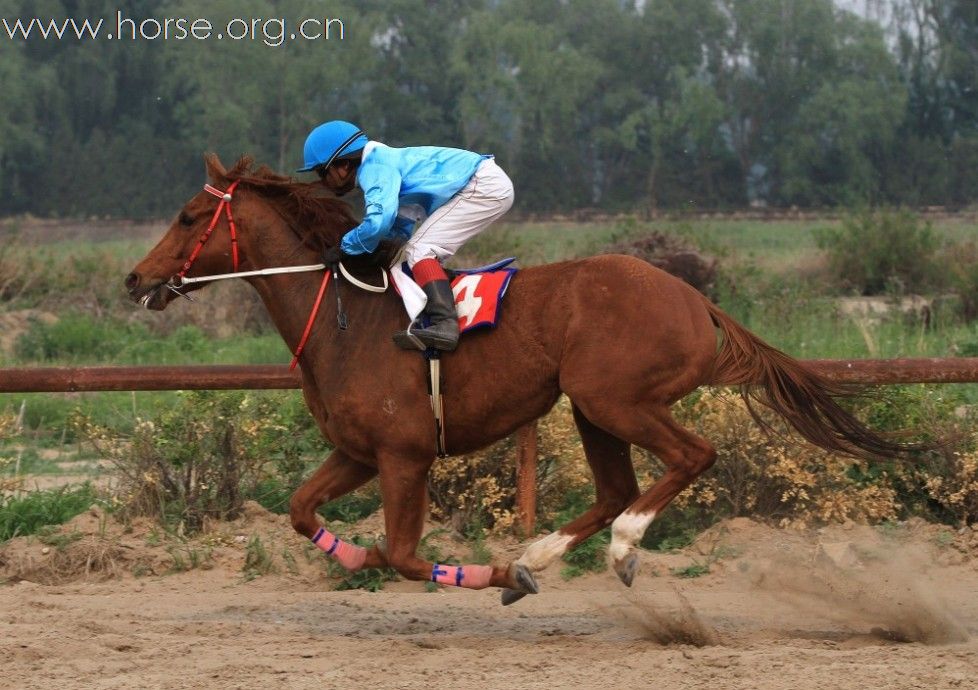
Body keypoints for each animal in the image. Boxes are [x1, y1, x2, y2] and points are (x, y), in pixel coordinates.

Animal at [127, 155, 932, 600]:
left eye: (188, 214)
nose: (135, 279)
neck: (344, 318)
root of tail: (694, 297)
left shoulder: (403, 456)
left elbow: (408, 557)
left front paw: (487, 578)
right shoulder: (358, 452)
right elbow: (301, 511)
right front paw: (355, 556)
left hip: (615, 396)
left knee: (690, 458)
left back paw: (618, 548)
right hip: (591, 408)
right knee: (615, 488)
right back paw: (541, 553)